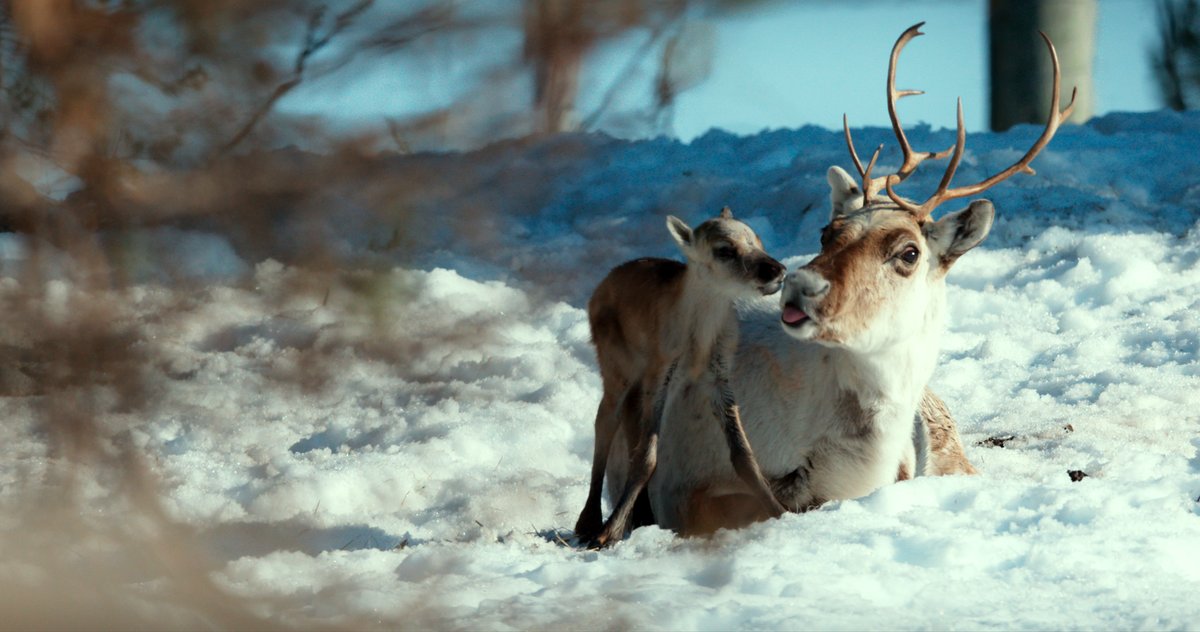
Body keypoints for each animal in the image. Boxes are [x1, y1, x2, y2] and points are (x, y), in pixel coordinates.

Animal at [573, 208, 787, 549]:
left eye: (757, 240)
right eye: (724, 250)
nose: (776, 269)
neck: (698, 344)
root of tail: (599, 288)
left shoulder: (719, 379)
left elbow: (744, 456)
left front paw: (780, 511)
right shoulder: (662, 373)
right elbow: (648, 457)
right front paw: (608, 532)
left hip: (637, 382)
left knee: (629, 423)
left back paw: (640, 515)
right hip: (617, 368)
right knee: (605, 422)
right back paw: (590, 520)